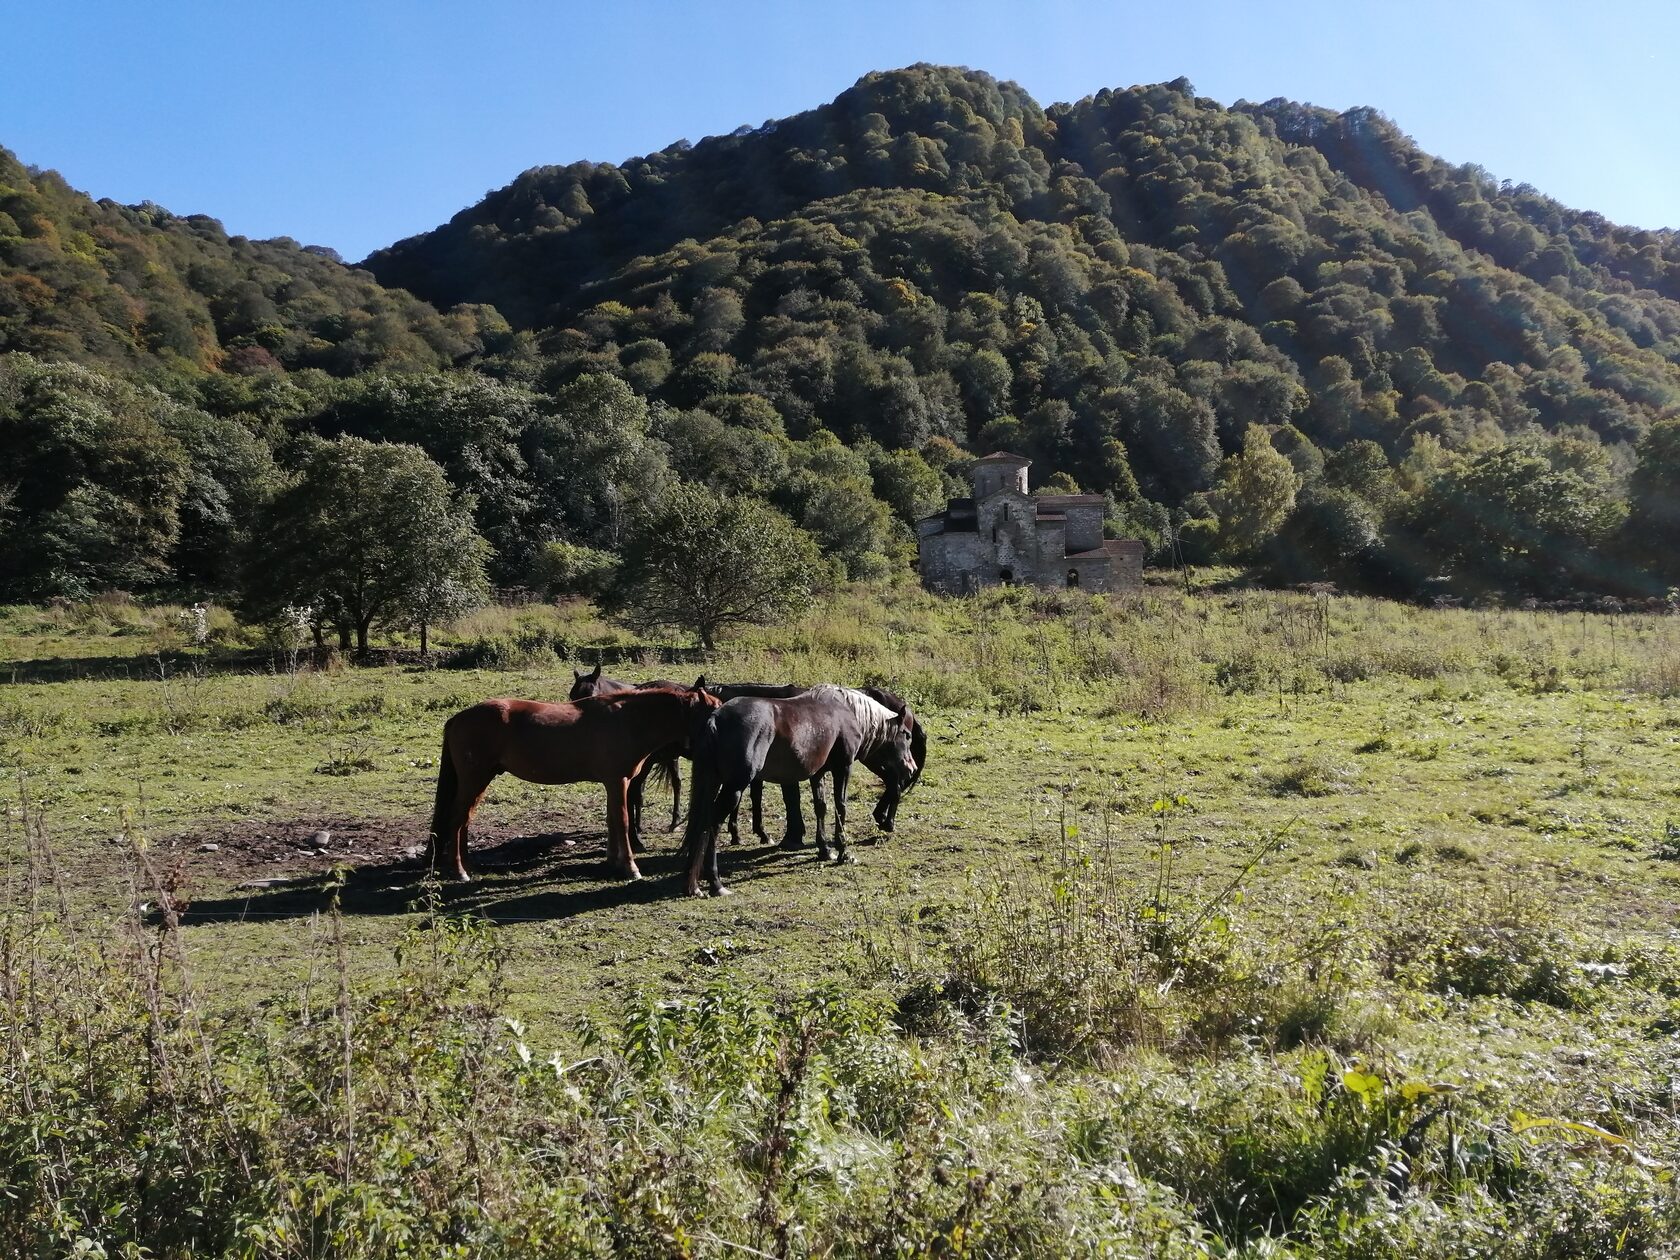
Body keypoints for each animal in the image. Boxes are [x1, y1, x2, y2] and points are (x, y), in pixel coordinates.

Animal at [426, 682, 715, 887]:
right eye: (713, 711)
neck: (628, 720)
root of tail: (457, 719)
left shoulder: (611, 783)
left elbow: (612, 820)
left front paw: (613, 861)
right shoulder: (618, 781)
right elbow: (622, 821)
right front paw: (630, 868)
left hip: (480, 780)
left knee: (465, 820)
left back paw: (468, 866)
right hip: (474, 779)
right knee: (457, 819)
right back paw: (460, 871)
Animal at [682, 692, 920, 900]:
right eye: (906, 735)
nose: (911, 768)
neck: (848, 711)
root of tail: (716, 719)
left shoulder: (818, 773)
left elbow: (821, 807)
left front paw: (825, 850)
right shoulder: (842, 768)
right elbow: (840, 807)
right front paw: (844, 853)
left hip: (714, 783)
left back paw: (694, 884)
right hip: (734, 787)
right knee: (711, 825)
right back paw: (716, 884)